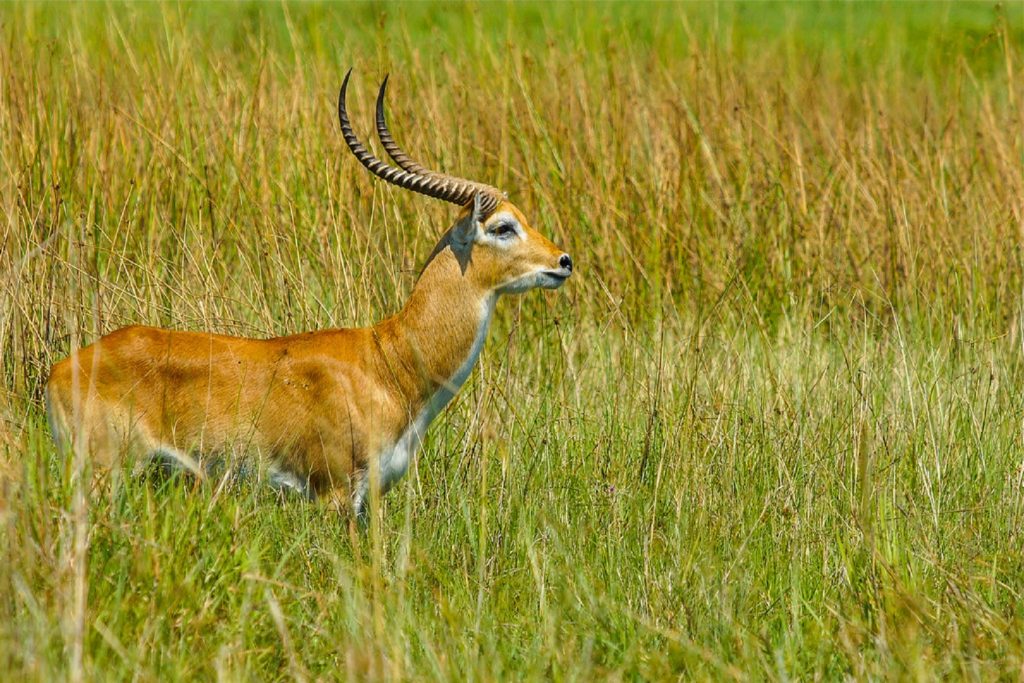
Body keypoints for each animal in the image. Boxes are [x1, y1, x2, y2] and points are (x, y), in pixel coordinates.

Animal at [46, 72, 577, 520]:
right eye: (503, 226)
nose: (563, 261)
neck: (389, 362)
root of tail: (62, 368)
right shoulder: (335, 494)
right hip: (104, 475)